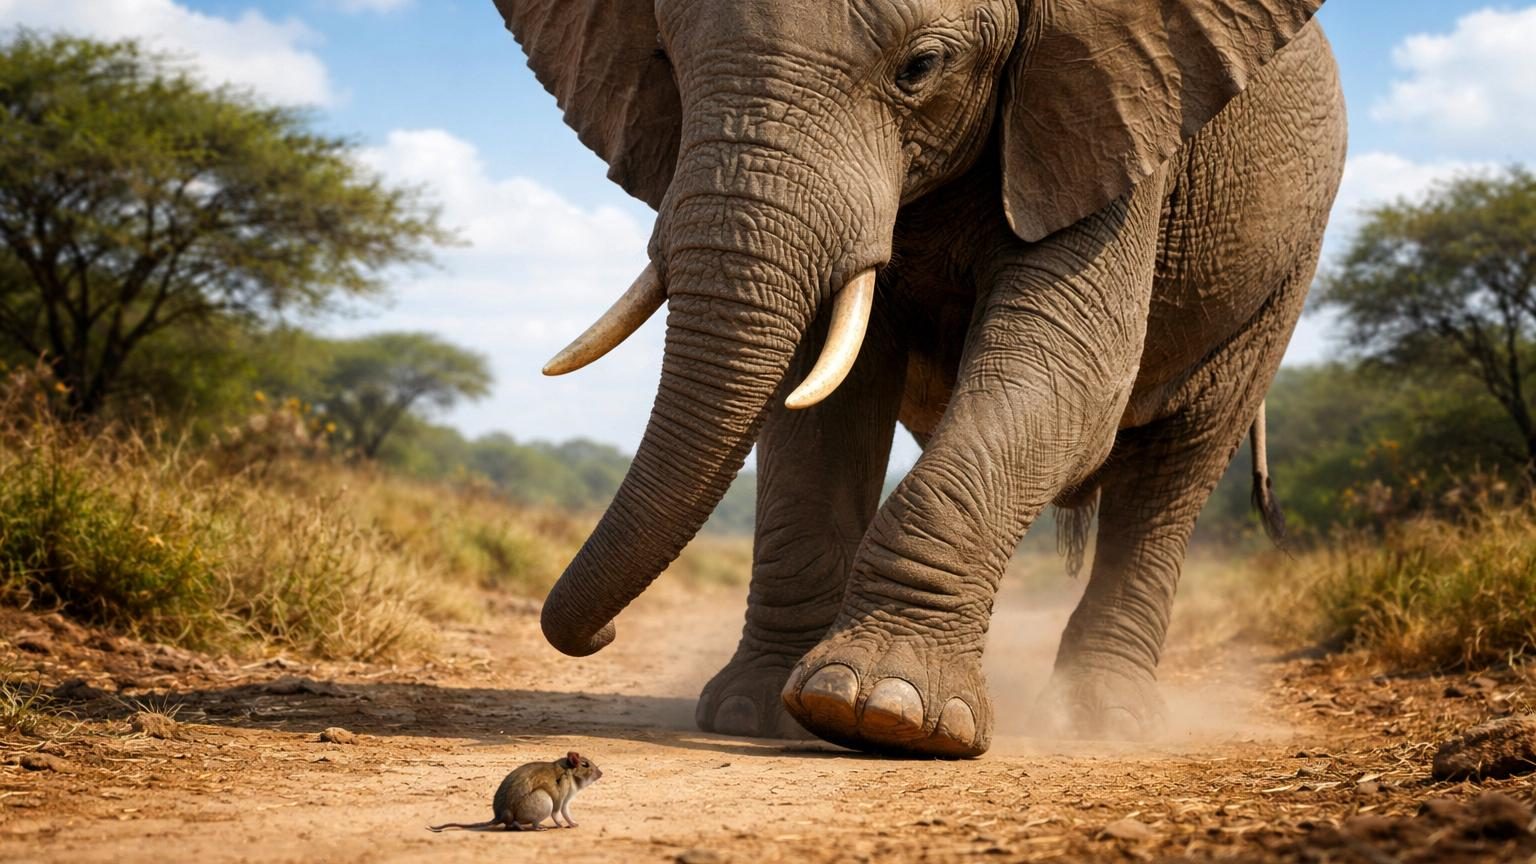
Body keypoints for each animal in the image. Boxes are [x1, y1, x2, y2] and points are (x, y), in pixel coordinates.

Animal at [492, 0, 1346, 758]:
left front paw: (880, 711)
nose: (604, 635)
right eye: (665, 61)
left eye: (920, 67)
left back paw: (1101, 722)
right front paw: (752, 714)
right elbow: (820, 404)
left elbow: (1069, 371)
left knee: (1177, 465)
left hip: (1284, 268)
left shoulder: (1117, 116)